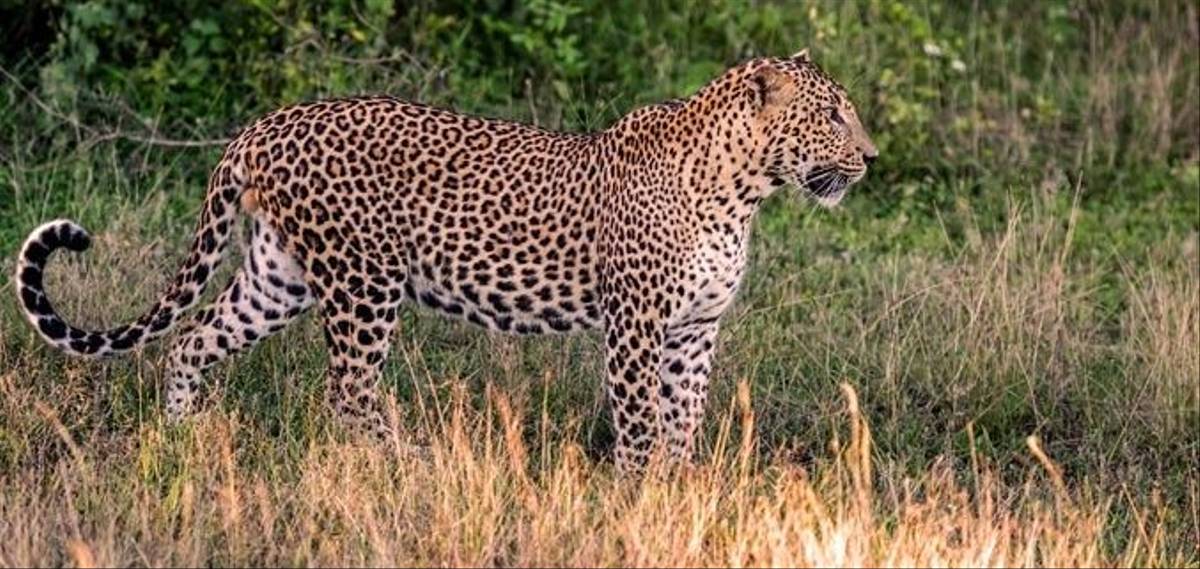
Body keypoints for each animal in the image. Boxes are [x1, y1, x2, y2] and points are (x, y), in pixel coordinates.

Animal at [14, 49, 877, 473]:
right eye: (834, 114)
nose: (870, 157)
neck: (744, 190)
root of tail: (262, 126)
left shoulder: (694, 329)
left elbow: (685, 418)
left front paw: (684, 490)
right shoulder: (636, 325)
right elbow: (640, 421)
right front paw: (638, 496)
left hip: (278, 275)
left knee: (194, 339)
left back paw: (181, 433)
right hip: (363, 282)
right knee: (346, 392)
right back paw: (409, 460)